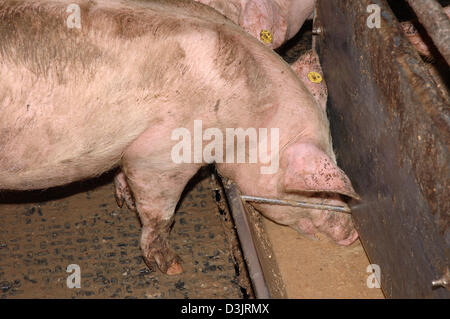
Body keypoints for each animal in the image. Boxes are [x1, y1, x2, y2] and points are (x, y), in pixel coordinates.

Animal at [0, 0, 358, 276]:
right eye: (318, 192)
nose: (352, 234)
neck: (252, 118)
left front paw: (124, 198)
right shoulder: (161, 155)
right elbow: (160, 211)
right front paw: (172, 267)